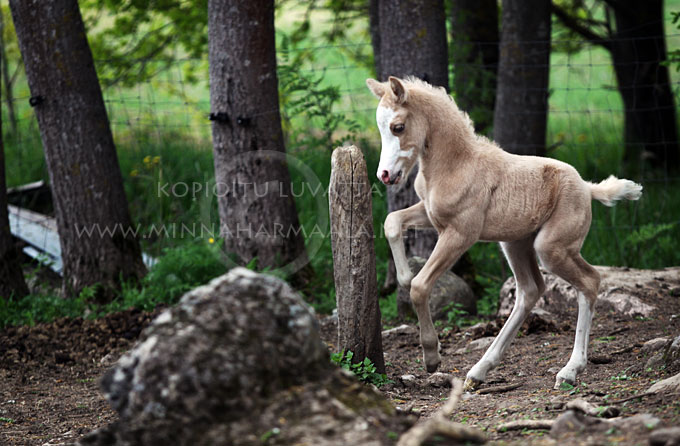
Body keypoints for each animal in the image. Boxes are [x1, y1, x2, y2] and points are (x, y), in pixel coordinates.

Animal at [370, 76, 640, 390]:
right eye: (380, 126)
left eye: (398, 127)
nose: (385, 175)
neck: (455, 164)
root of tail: (587, 187)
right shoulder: (430, 215)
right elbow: (391, 222)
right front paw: (401, 277)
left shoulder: (461, 233)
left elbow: (421, 285)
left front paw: (432, 356)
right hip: (515, 244)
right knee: (530, 290)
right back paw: (479, 370)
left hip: (551, 248)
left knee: (589, 281)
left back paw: (570, 370)